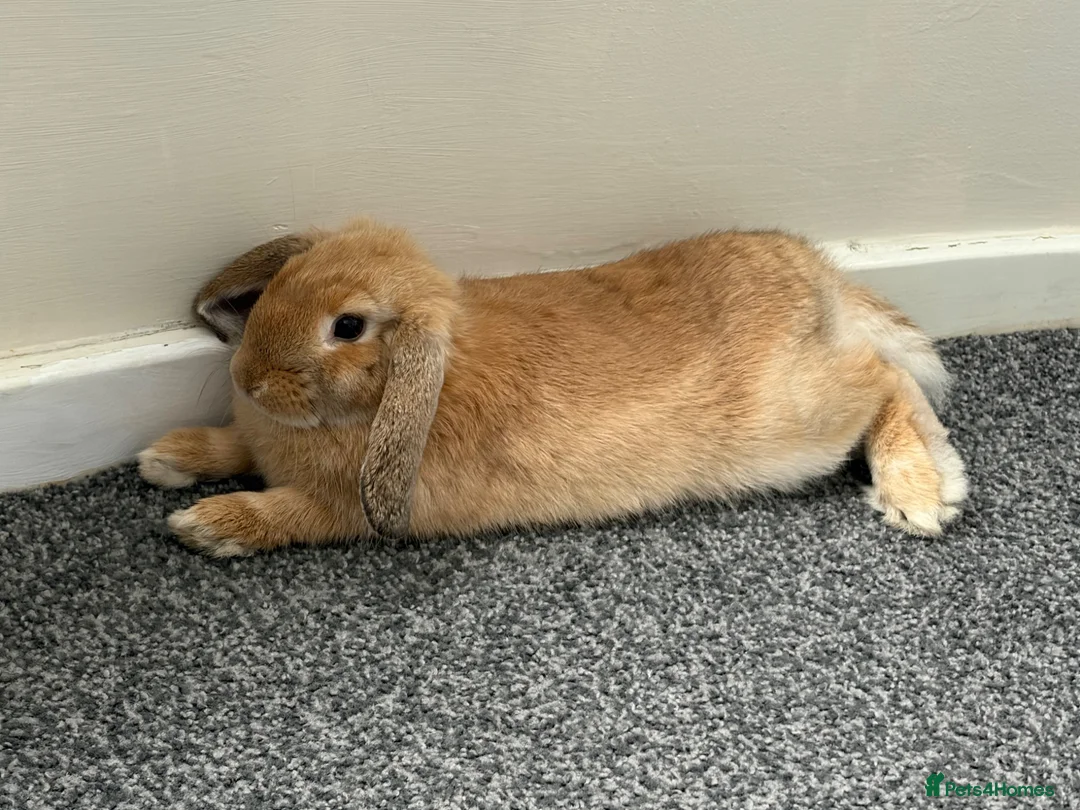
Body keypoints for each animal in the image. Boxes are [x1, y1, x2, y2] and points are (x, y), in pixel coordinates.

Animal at [139, 218, 968, 557]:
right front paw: (166, 457)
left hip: (796, 421)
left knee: (886, 377)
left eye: (347, 326)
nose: (245, 377)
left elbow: (284, 512)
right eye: (284, 282)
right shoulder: (255, 439)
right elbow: (229, 445)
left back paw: (921, 490)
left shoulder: (342, 508)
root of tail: (816, 275)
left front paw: (205, 526)